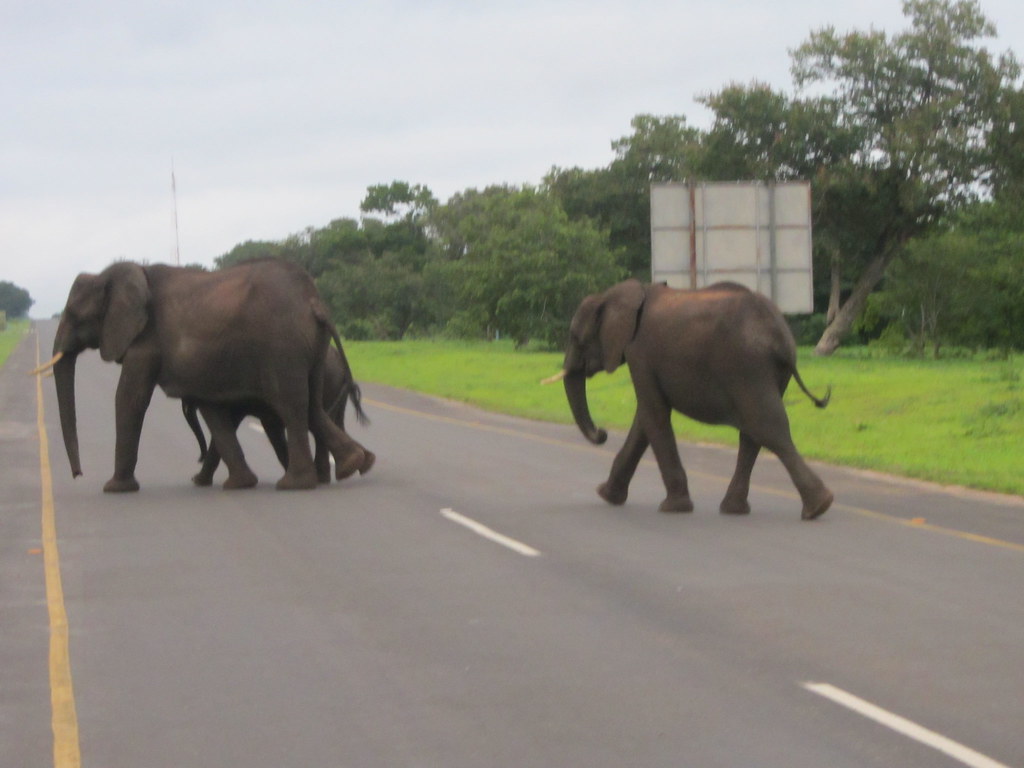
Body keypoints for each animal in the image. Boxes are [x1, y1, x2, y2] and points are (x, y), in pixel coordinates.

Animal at [549, 279, 833, 520]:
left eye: (576, 337)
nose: (602, 433)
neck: (616, 295)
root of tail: (781, 337)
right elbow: (644, 419)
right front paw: (606, 495)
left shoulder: (640, 353)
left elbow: (654, 415)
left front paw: (673, 508)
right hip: (769, 372)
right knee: (753, 433)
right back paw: (739, 509)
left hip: (746, 367)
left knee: (766, 428)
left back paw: (817, 508)